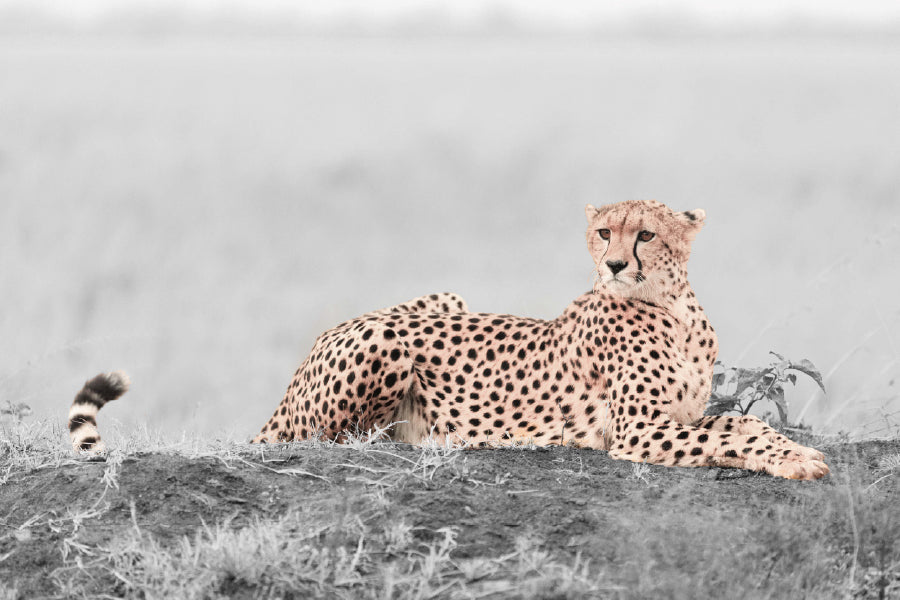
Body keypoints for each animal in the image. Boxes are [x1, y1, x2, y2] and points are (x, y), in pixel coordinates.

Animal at [69, 200, 828, 480]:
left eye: (644, 233)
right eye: (601, 231)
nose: (615, 264)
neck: (670, 305)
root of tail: (316, 345)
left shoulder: (673, 414)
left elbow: (731, 418)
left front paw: (794, 453)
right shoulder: (638, 430)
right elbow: (735, 423)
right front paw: (797, 459)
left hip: (444, 298)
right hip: (389, 341)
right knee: (332, 440)